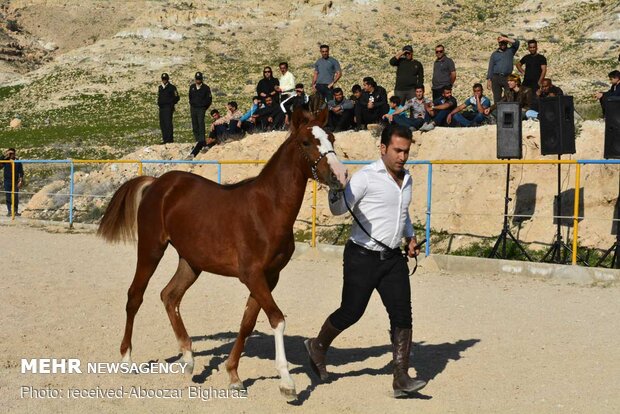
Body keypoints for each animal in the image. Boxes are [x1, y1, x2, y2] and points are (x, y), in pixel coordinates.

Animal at [97, 108, 348, 400]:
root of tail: (157, 183)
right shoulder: (252, 275)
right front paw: (287, 383)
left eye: (331, 138)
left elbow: (248, 323)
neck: (267, 209)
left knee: (170, 296)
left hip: (191, 262)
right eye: (307, 142)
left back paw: (188, 358)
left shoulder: (269, 277)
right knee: (135, 297)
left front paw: (234, 376)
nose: (340, 176)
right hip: (150, 249)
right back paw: (127, 359)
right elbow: (277, 319)